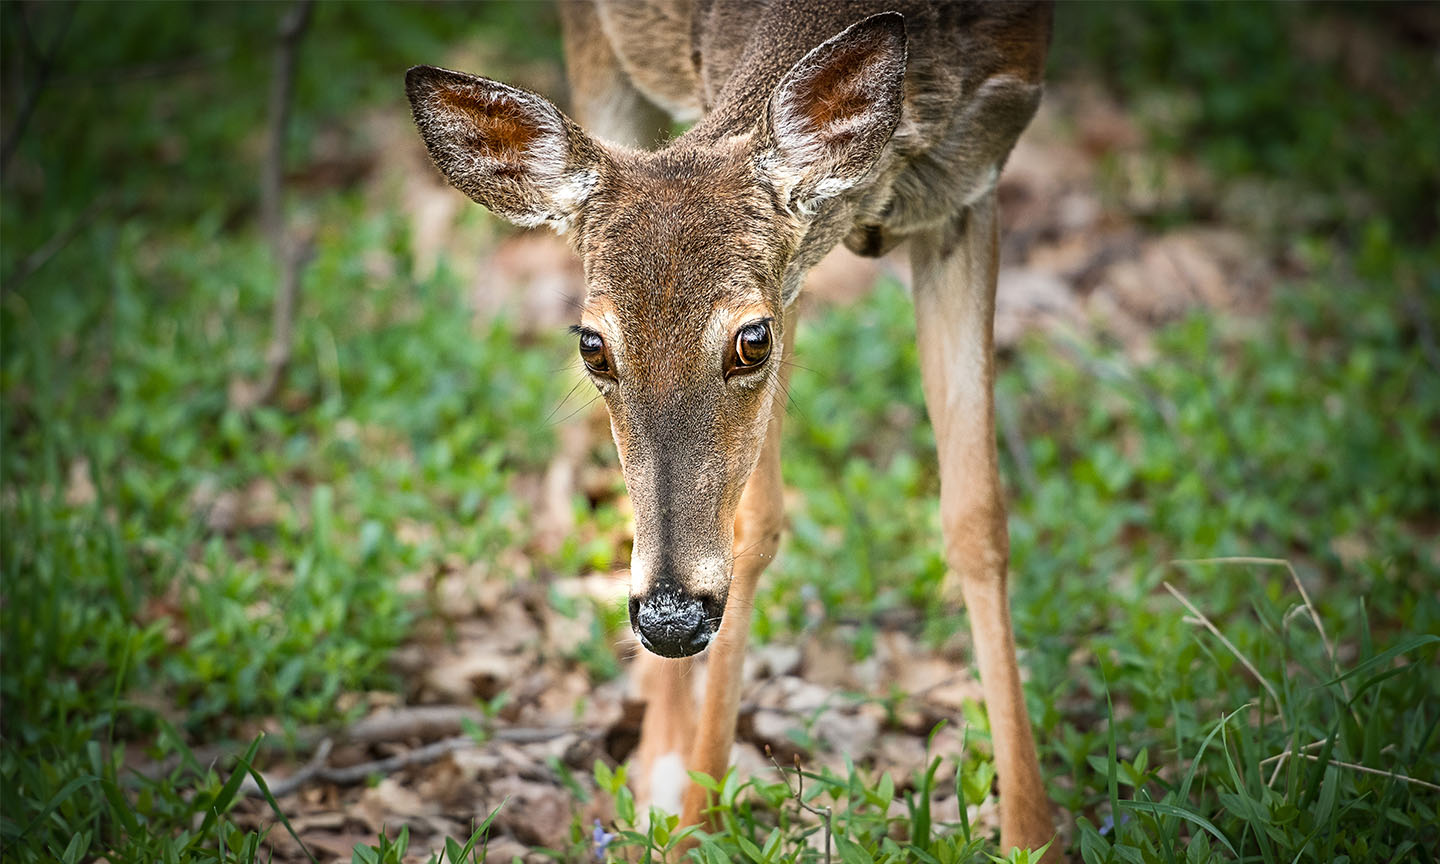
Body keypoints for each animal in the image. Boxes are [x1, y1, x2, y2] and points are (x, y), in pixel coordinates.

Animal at [406, 0, 1059, 858]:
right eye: (592, 345)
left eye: (752, 338)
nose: (672, 618)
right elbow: (758, 520)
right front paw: (694, 822)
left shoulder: (973, 184)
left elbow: (977, 515)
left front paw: (1033, 834)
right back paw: (658, 766)